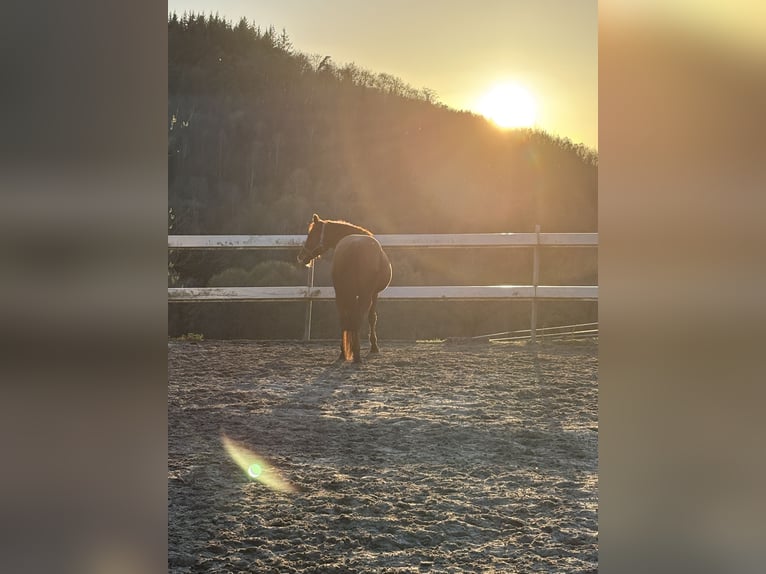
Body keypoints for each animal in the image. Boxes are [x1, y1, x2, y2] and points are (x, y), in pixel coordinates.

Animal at [297, 214, 392, 362]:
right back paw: (357, 354)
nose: (301, 257)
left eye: (312, 234)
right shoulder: (374, 294)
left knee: (344, 319)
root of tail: (354, 247)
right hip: (364, 295)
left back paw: (343, 352)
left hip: (341, 294)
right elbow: (372, 318)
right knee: (357, 318)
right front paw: (374, 346)